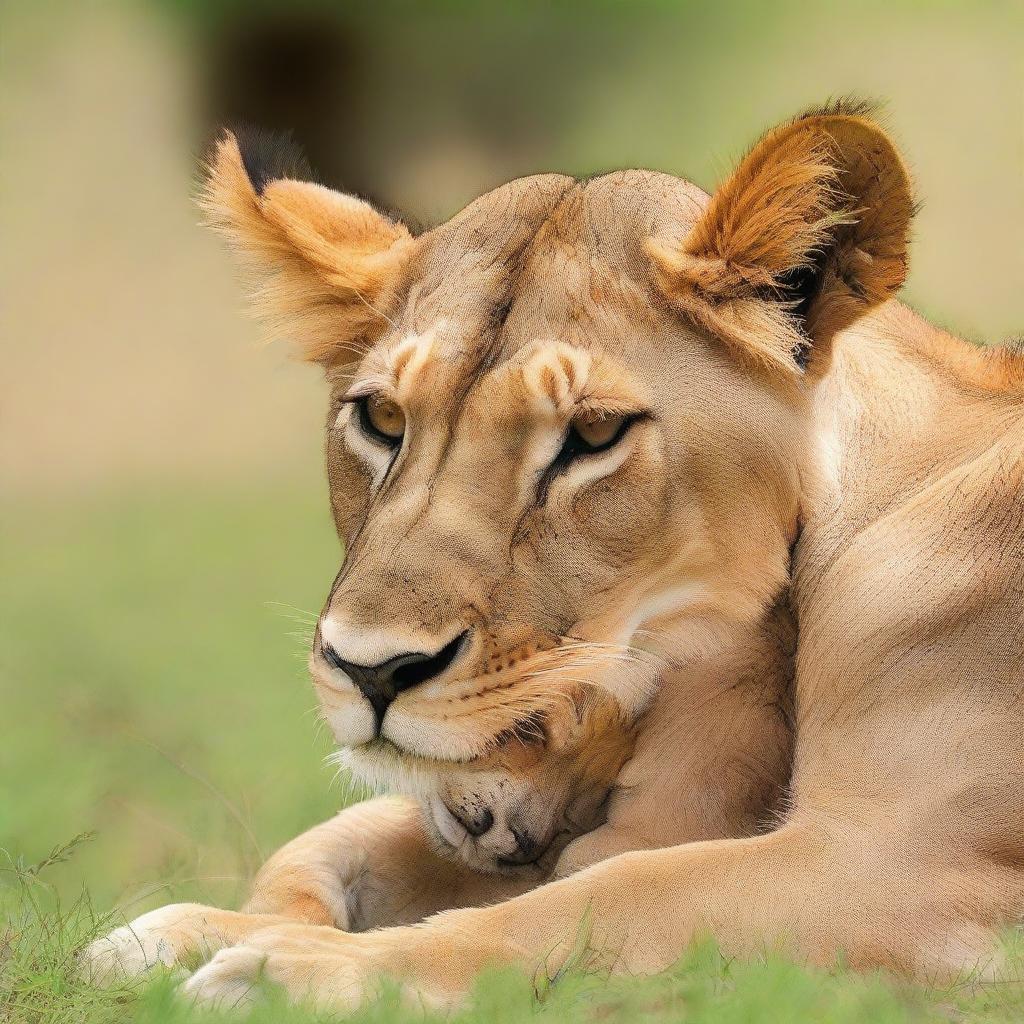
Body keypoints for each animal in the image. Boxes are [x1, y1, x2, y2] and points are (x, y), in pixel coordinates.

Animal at [83, 101, 1019, 1007]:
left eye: (594, 434)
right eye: (382, 418)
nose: (370, 673)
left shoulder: (898, 866)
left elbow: (599, 897)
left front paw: (286, 968)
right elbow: (343, 843)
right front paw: (187, 932)